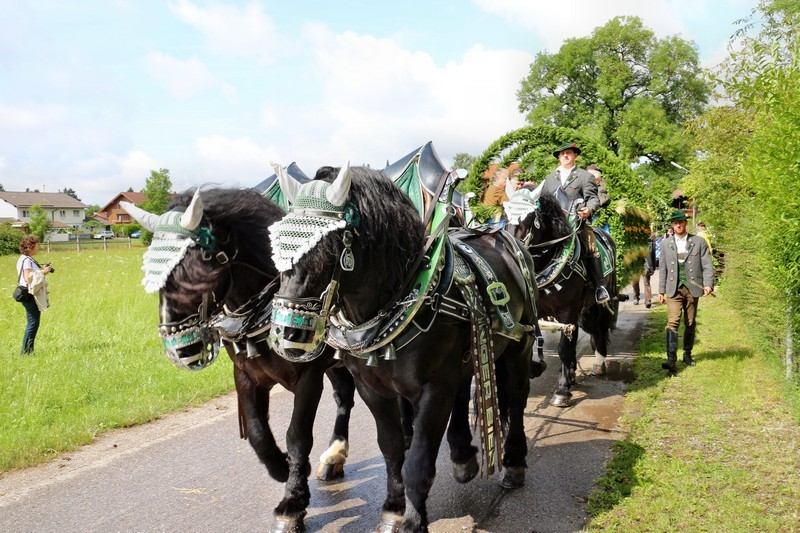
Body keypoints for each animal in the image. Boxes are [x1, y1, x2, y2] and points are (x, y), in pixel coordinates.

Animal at [119, 189, 356, 528]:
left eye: (199, 270)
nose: (179, 352)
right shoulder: (246, 377)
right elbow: (257, 432)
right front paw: (282, 467)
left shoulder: (309, 377)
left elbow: (297, 435)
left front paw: (293, 501)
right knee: (344, 394)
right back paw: (335, 454)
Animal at [268, 164, 536, 528]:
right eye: (276, 246)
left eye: (328, 245)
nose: (286, 333)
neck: (402, 298)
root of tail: (503, 236)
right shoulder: (373, 390)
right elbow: (393, 448)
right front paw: (394, 508)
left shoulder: (433, 389)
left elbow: (418, 461)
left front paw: (412, 520)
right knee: (463, 389)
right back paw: (463, 455)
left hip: (521, 344)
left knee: (516, 399)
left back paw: (513, 462)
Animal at [506, 189, 620, 406]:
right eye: (505, 215)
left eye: (529, 218)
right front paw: (538, 369)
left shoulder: (567, 311)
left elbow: (563, 348)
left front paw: (561, 391)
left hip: (603, 300)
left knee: (601, 327)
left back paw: (598, 364)